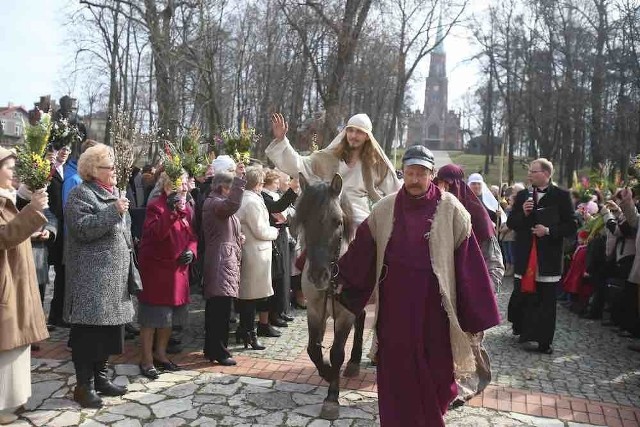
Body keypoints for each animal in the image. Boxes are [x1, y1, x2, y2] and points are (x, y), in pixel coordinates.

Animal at [292, 173, 368, 422]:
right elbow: (313, 349)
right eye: (304, 220)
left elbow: (336, 352)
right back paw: (354, 363)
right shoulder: (315, 310)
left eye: (337, 221)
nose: (318, 275)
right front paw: (325, 372)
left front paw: (332, 397)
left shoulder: (344, 314)